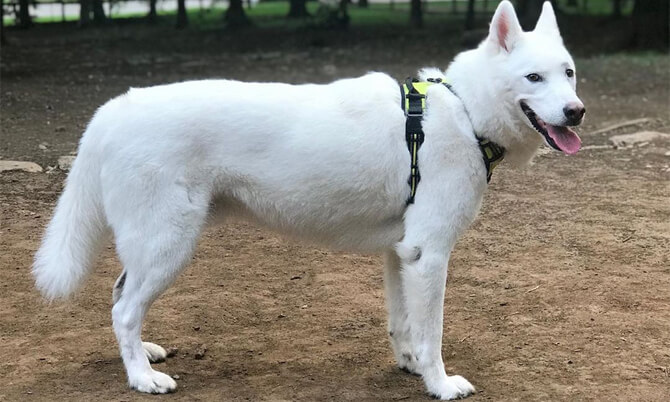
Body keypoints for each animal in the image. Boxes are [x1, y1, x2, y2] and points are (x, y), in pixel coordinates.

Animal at [34, 2, 584, 398]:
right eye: (534, 78)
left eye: (569, 73)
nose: (576, 112)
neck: (462, 110)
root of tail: (112, 109)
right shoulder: (429, 256)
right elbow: (432, 335)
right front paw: (439, 385)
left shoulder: (401, 255)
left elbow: (403, 325)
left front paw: (408, 367)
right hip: (167, 245)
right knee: (123, 310)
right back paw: (141, 379)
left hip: (152, 248)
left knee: (118, 296)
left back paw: (142, 356)